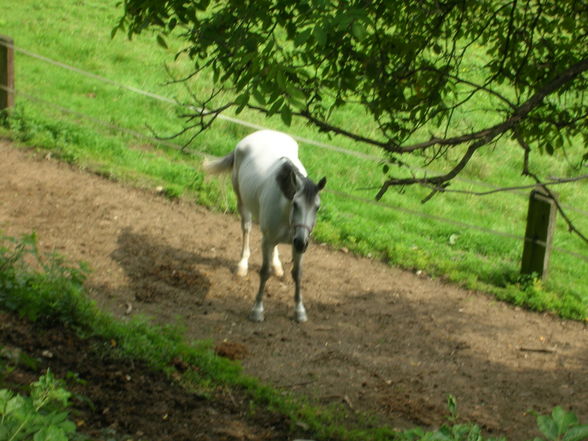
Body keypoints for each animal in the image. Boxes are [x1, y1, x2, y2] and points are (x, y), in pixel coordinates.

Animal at [204, 129, 326, 322]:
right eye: (295, 204)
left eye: (317, 207)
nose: (301, 242)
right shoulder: (267, 240)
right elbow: (264, 272)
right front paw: (257, 310)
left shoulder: (295, 244)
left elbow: (297, 274)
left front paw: (300, 311)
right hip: (243, 204)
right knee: (246, 229)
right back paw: (242, 265)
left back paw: (277, 266)